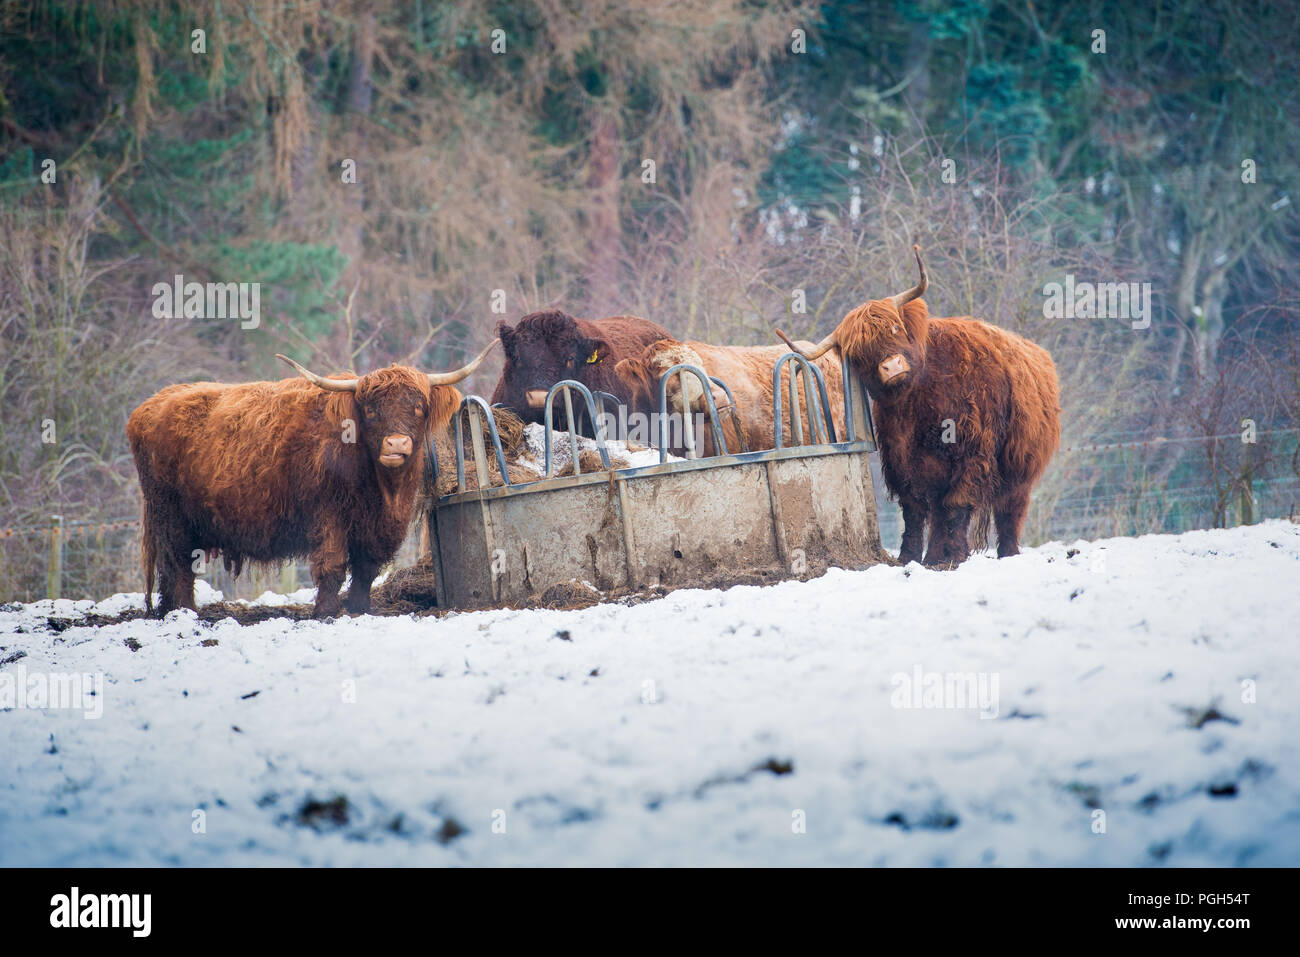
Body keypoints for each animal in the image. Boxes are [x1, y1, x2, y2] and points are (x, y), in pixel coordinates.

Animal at [127, 342, 497, 618]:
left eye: (419, 406)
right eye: (371, 409)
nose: (396, 445)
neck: (383, 489)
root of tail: (150, 405)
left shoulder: (380, 524)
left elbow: (366, 567)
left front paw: (360, 608)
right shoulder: (328, 514)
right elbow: (332, 565)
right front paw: (327, 611)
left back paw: (171, 611)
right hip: (170, 513)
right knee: (178, 563)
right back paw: (185, 613)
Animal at [777, 247, 1060, 567]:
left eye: (895, 327)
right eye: (859, 353)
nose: (892, 366)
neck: (920, 401)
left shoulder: (973, 453)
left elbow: (958, 504)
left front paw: (954, 556)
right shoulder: (901, 459)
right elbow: (915, 509)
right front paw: (910, 556)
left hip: (1020, 465)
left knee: (1010, 509)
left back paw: (1007, 552)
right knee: (941, 511)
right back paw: (935, 554)